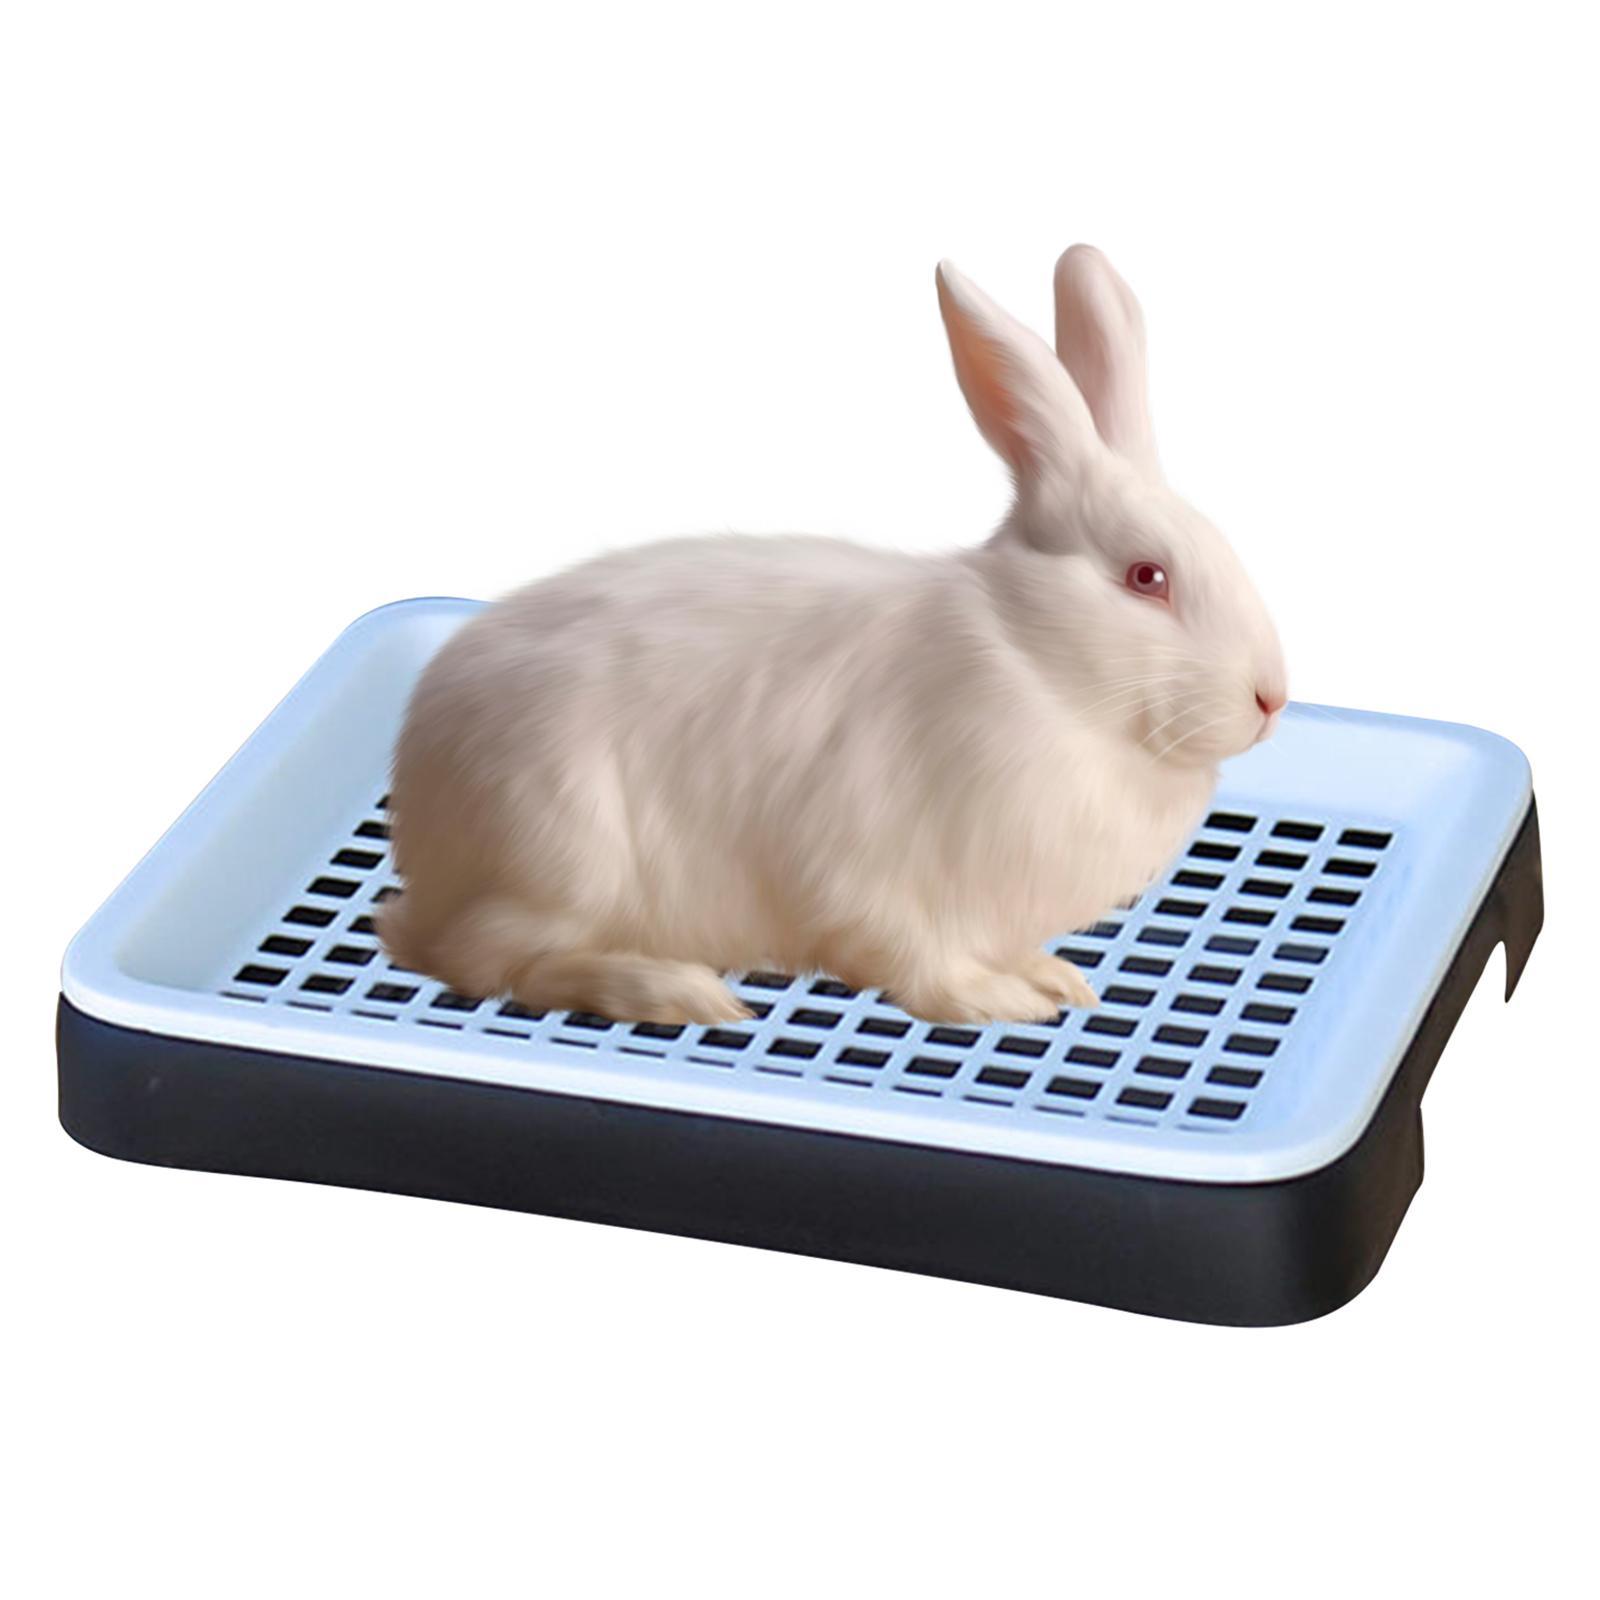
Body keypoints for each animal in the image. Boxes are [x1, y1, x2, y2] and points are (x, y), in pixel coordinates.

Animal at [380, 245, 1287, 1025]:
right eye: (1147, 577)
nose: (1271, 699)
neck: (1038, 666)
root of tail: (422, 817)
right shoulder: (870, 870)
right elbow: (915, 961)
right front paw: (997, 1001)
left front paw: (1053, 977)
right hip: (564, 854)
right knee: (487, 959)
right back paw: (676, 990)